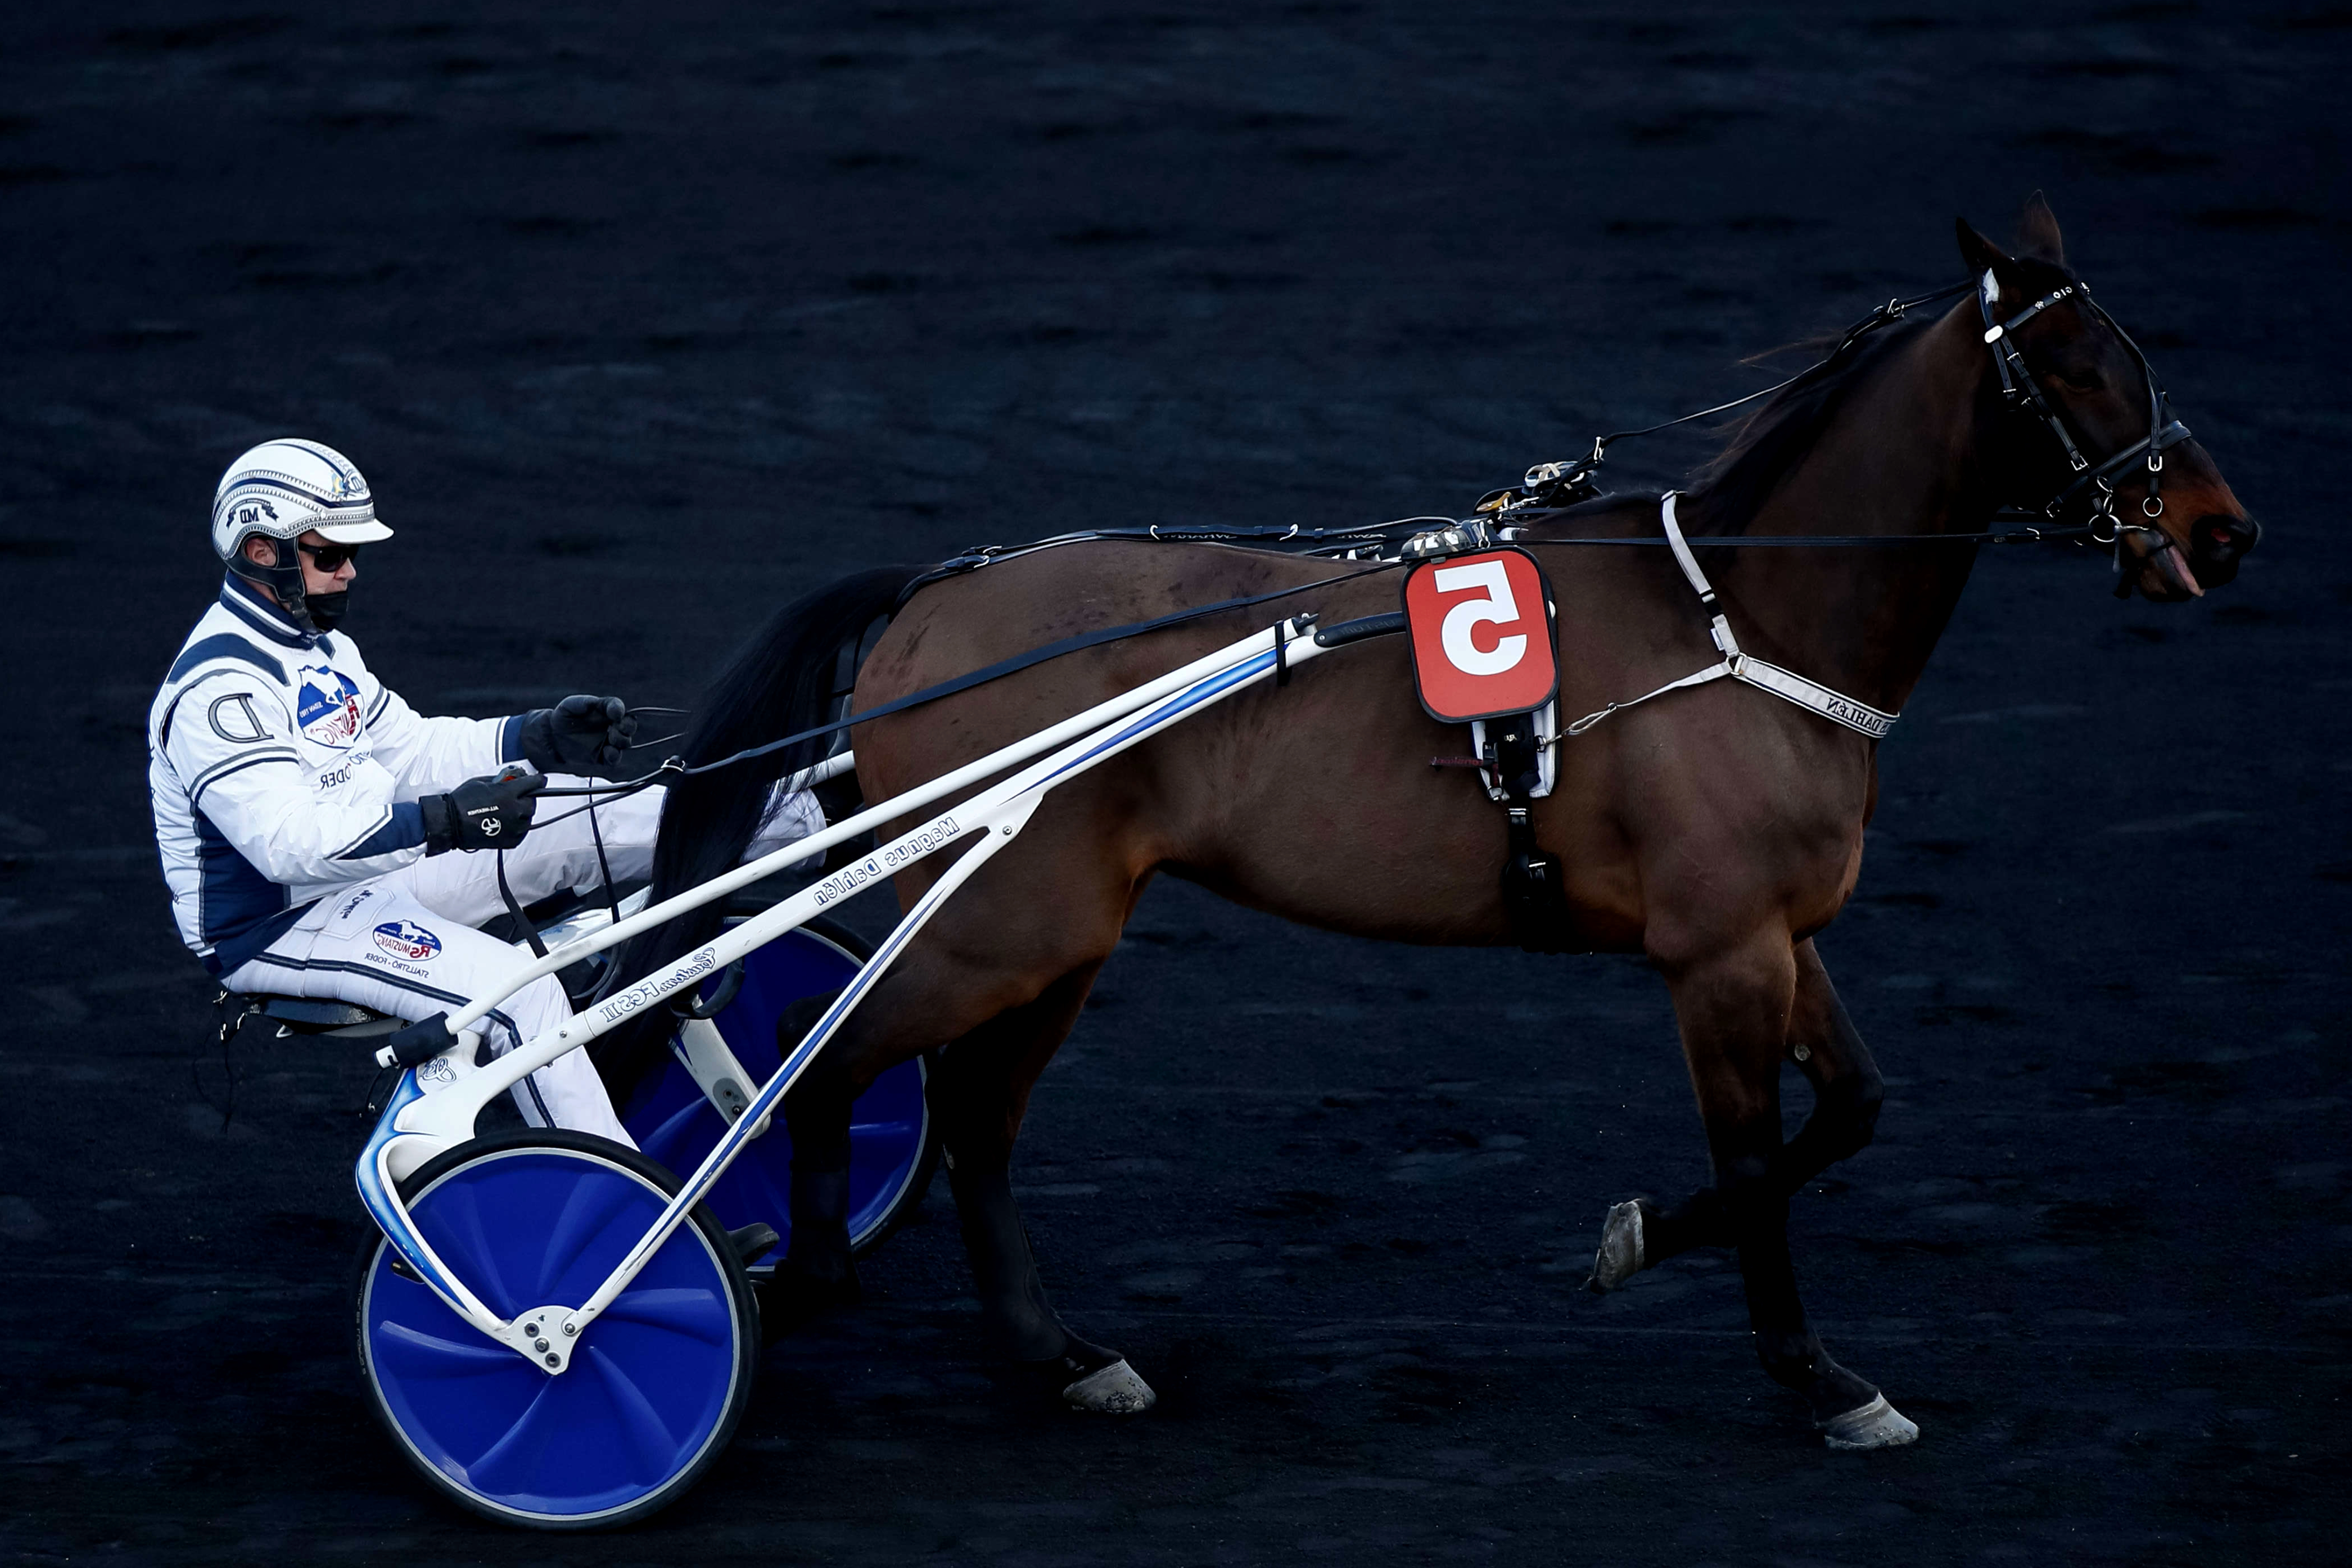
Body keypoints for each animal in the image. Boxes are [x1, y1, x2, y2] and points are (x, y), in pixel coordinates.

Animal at [602, 202, 2258, 1457]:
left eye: (2132, 353)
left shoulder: (1777, 931)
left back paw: (1056, 1353)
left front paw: (1650, 1243)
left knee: (968, 1114)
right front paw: (1804, 1368)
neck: (1738, 617)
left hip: (1049, 937)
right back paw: (811, 1274)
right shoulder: (1712, 955)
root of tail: (931, 599)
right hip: (1004, 921)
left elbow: (1848, 1110)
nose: (2219, 529)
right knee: (830, 1064)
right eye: (2073, 369)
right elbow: (1748, 1161)